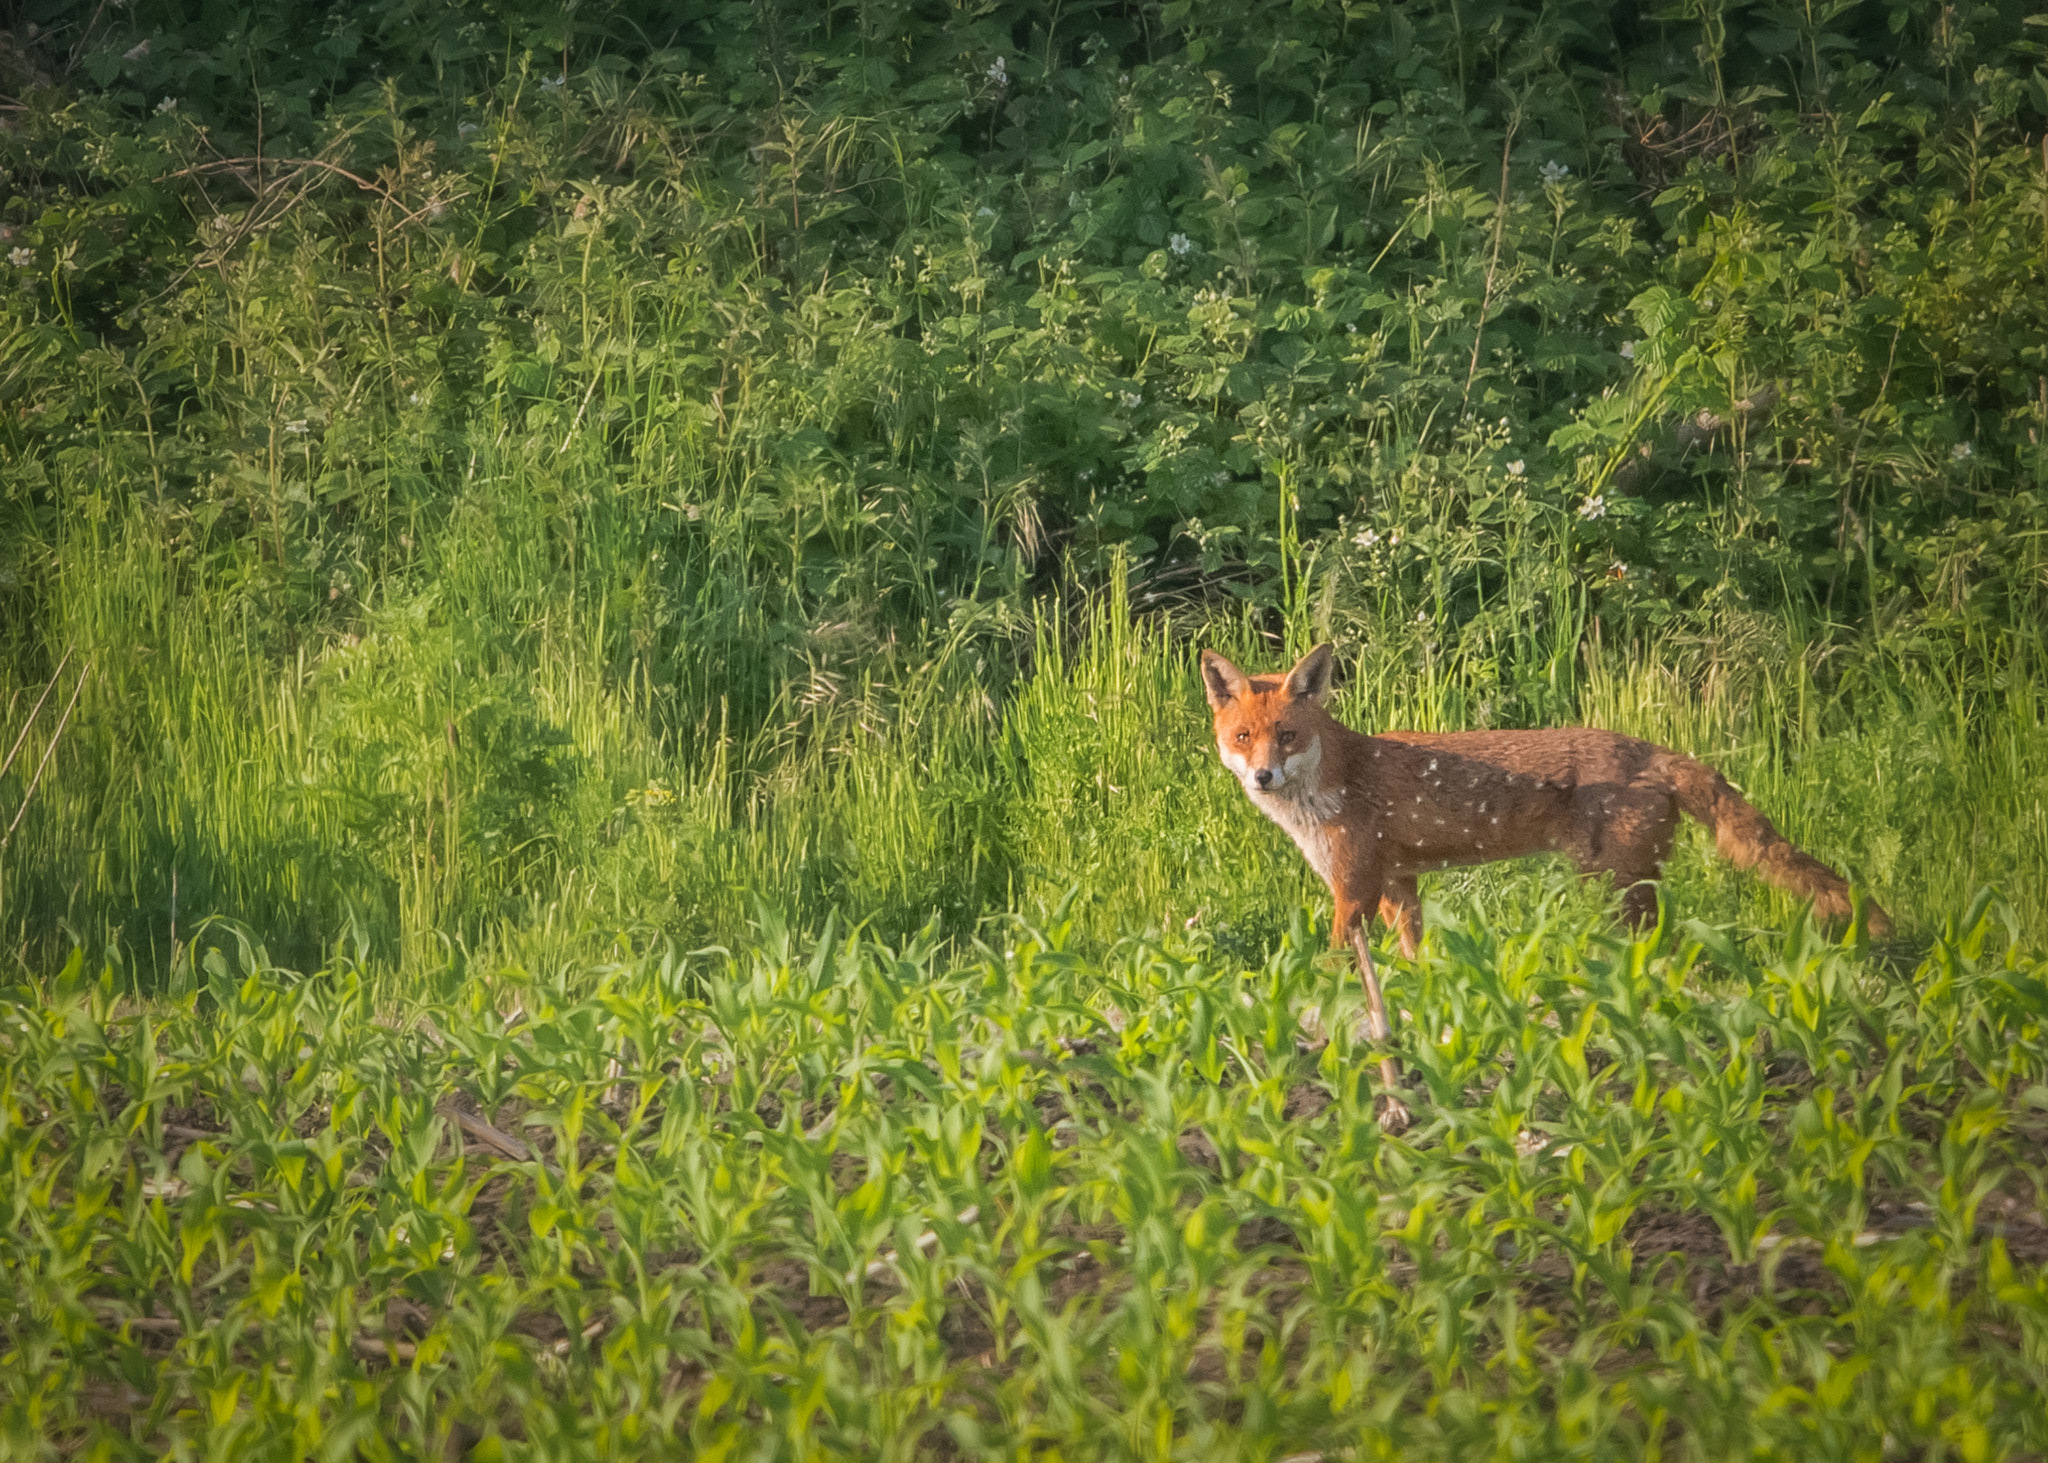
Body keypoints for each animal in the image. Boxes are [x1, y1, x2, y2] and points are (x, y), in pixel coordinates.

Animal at [1196, 639, 1884, 1131]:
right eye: (1243, 737)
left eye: (1287, 736)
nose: (1262, 777)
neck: (1334, 783)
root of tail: (1652, 749)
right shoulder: (1398, 885)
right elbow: (1413, 966)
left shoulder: (1354, 889)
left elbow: (1333, 967)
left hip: (1613, 888)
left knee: (1650, 959)